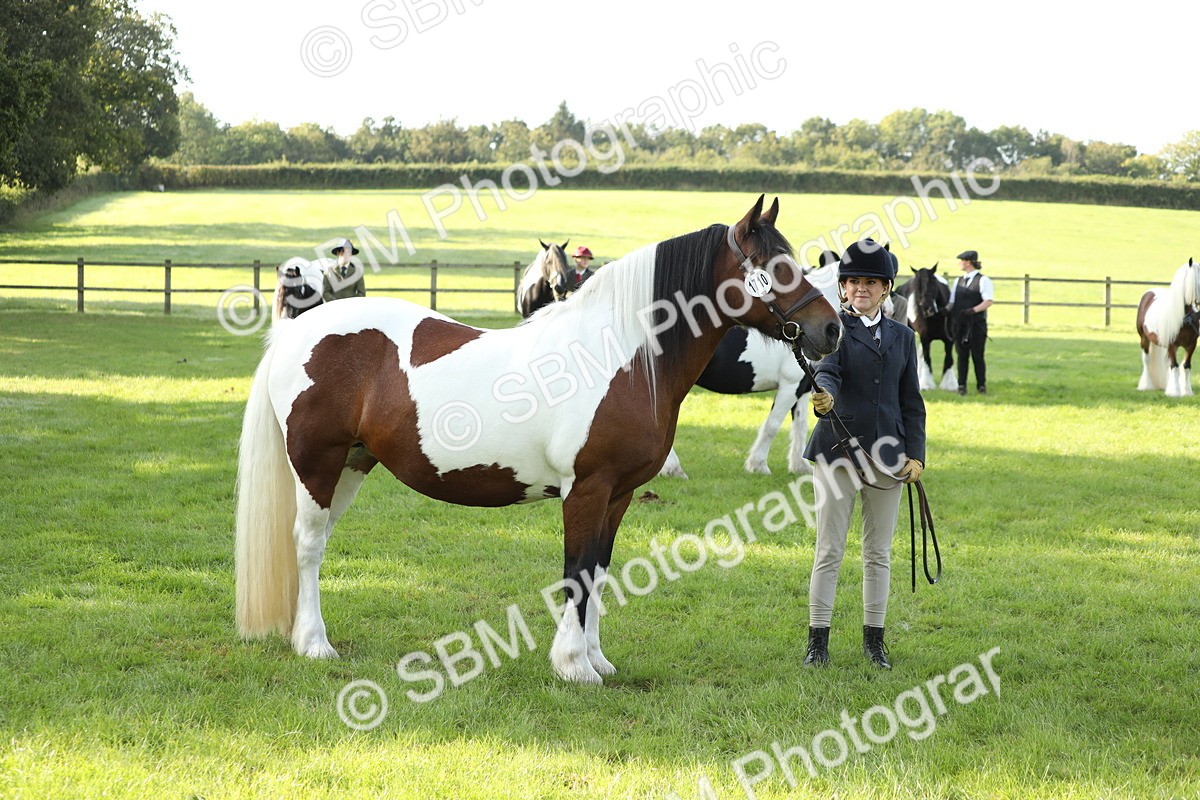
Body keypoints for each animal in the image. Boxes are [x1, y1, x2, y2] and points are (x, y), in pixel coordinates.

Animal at [234, 196, 842, 684]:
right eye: (773, 265)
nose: (830, 329)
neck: (617, 355)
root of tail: (299, 329)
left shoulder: (618, 495)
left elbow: (598, 569)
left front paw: (596, 660)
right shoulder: (587, 489)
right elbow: (577, 570)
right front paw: (573, 666)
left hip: (352, 466)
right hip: (317, 464)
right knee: (308, 545)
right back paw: (315, 644)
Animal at [1136, 259, 1200, 397]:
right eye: (1197, 280)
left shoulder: (1191, 345)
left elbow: (1186, 366)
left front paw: (1186, 392)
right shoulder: (1172, 344)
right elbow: (1175, 366)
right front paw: (1175, 392)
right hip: (1144, 339)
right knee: (1147, 360)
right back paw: (1146, 386)